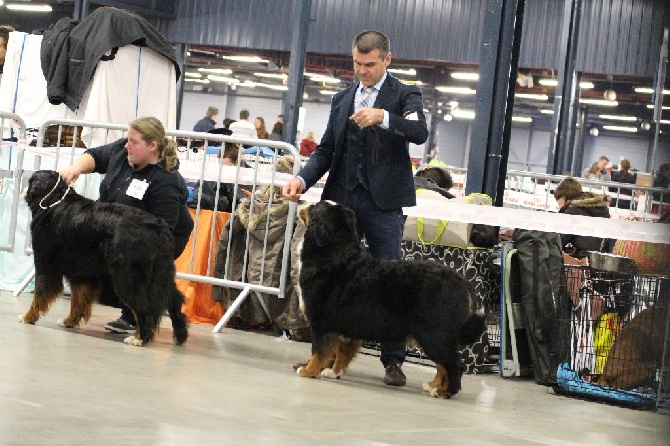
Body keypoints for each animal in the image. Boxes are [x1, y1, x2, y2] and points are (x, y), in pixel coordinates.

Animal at [19, 169, 188, 346]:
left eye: (31, 182)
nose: (23, 190)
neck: (54, 201)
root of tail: (158, 226)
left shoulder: (45, 264)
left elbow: (39, 295)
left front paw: (28, 317)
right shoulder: (82, 272)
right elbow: (78, 300)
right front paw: (69, 321)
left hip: (127, 278)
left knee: (144, 308)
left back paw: (140, 338)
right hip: (161, 277)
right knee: (174, 300)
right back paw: (180, 335)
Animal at [296, 200, 486, 398]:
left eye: (314, 206)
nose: (300, 199)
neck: (333, 253)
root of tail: (463, 282)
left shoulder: (321, 321)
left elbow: (318, 351)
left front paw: (308, 370)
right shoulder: (345, 324)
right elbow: (342, 351)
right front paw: (334, 372)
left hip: (434, 334)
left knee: (453, 365)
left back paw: (444, 392)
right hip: (434, 336)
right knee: (443, 365)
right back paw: (433, 385)